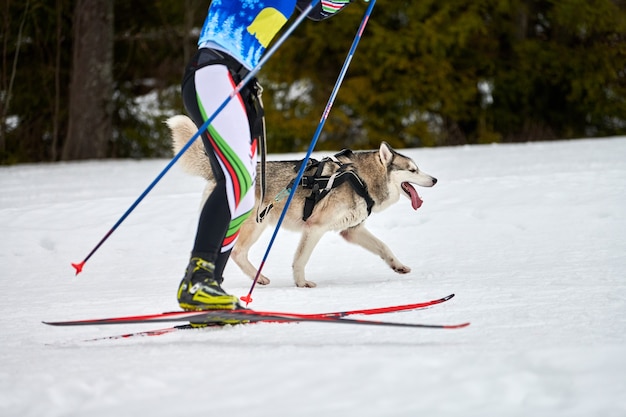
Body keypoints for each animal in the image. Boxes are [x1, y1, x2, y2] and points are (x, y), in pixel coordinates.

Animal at [168, 115, 436, 288]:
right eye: (412, 170)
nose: (434, 179)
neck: (360, 179)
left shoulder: (352, 230)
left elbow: (384, 247)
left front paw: (398, 266)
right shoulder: (314, 228)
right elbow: (300, 260)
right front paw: (301, 283)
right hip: (252, 225)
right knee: (235, 253)